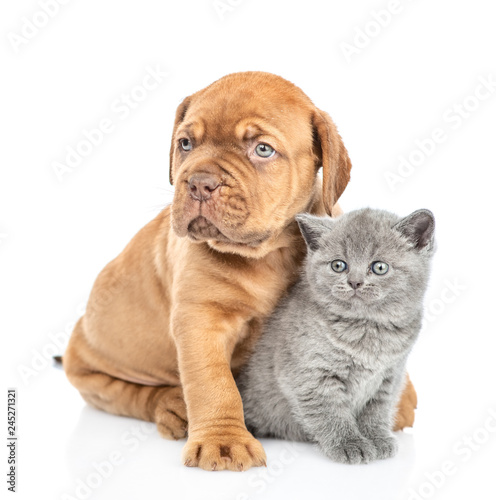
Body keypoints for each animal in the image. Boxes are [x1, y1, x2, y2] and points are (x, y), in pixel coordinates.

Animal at [236, 208, 434, 464]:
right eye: (338, 265)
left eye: (379, 267)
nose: (355, 282)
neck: (367, 330)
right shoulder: (309, 375)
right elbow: (330, 413)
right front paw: (350, 444)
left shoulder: (390, 376)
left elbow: (377, 410)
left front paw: (378, 438)